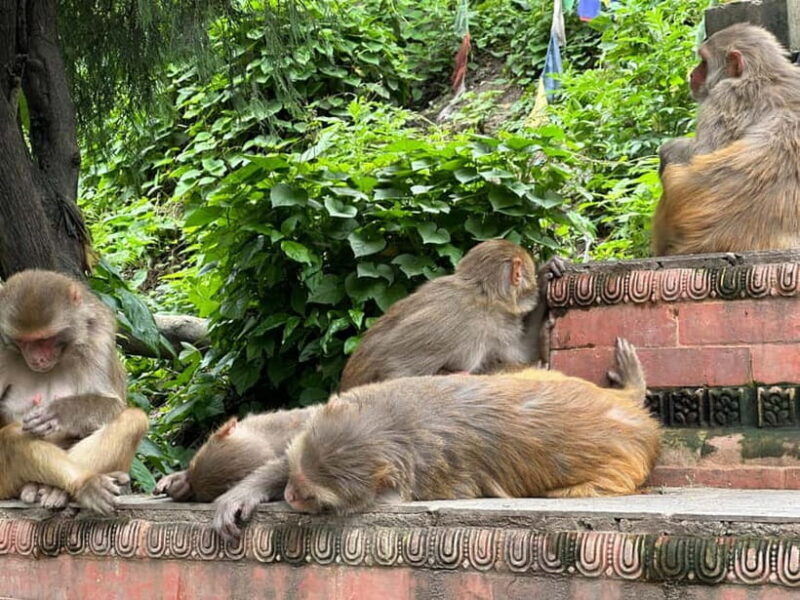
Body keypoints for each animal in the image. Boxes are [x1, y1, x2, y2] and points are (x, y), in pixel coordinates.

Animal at [0, 270, 149, 513]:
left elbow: (112, 403)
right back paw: (78, 484)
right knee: (12, 436)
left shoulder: (98, 335)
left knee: (133, 418)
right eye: (24, 341)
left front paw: (59, 412)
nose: (37, 359)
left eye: (45, 339)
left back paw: (64, 489)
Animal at [283, 338, 661, 516]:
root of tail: (635, 418)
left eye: (312, 496)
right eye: (293, 471)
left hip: (624, 464)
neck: (394, 426)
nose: (289, 495)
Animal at [339, 239, 564, 392]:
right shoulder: (478, 324)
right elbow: (394, 370)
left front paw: (546, 277)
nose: (534, 286)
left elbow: (523, 351)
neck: (480, 291)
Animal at [653, 23, 800, 255]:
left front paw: (668, 148)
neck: (766, 74)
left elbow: (702, 152)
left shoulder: (723, 95)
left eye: (704, 63)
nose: (692, 74)